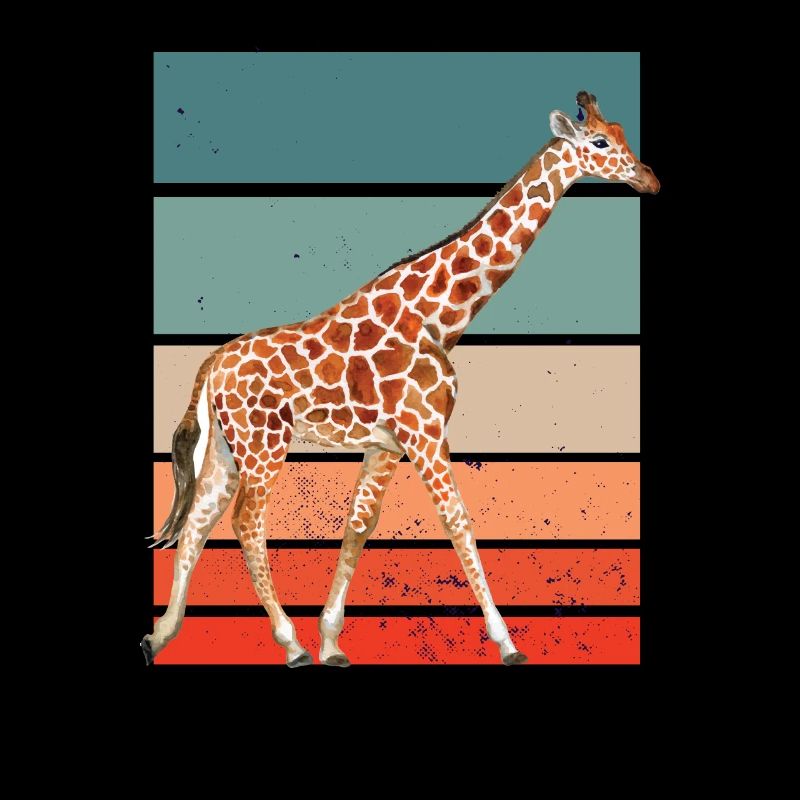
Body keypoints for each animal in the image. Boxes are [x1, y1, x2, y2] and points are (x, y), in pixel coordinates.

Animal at [143, 91, 658, 667]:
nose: (648, 179)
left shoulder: (386, 444)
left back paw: (160, 636)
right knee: (245, 524)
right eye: (601, 142)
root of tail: (211, 366)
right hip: (265, 443)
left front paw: (331, 641)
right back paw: (289, 644)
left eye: (622, 134)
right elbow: (457, 522)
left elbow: (358, 527)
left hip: (227, 449)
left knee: (197, 523)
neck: (440, 316)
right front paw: (507, 644)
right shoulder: (425, 431)